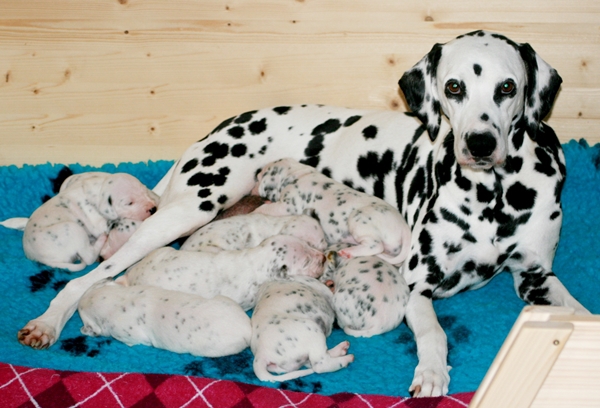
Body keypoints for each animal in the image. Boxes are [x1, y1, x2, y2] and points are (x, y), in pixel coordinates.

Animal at [2, 172, 158, 272]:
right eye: (129, 202)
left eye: (144, 191)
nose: (153, 209)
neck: (99, 190)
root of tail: (39, 259)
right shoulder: (97, 221)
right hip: (73, 228)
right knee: (88, 257)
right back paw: (99, 241)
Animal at [252, 158, 412, 265]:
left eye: (259, 177)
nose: (252, 190)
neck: (298, 175)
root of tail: (404, 226)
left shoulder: (287, 205)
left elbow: (264, 209)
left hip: (358, 219)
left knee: (376, 246)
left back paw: (350, 251)